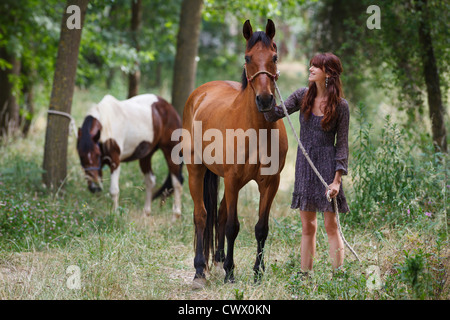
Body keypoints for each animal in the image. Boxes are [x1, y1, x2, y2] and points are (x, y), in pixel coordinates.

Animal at [181, 19, 286, 288]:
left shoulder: (270, 182)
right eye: (248, 57)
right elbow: (232, 226)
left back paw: (217, 262)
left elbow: (261, 228)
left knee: (217, 215)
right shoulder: (233, 180)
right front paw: (231, 272)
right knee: (202, 215)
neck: (257, 130)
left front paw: (257, 272)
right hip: (197, 170)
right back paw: (200, 271)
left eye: (274, 56)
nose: (265, 100)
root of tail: (199, 94)